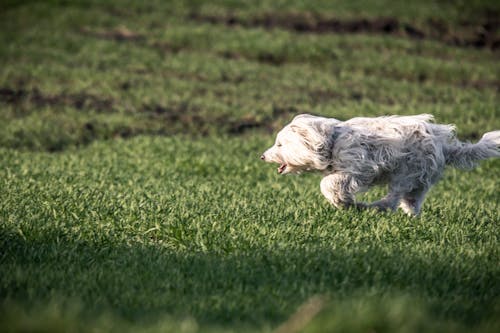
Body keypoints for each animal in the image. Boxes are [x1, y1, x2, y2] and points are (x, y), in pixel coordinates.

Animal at [262, 114, 500, 215]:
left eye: (280, 144)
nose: (262, 157)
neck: (333, 142)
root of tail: (445, 147)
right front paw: (343, 202)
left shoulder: (359, 168)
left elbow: (328, 184)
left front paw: (344, 201)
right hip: (419, 181)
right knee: (410, 201)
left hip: (406, 173)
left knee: (392, 200)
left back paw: (373, 207)